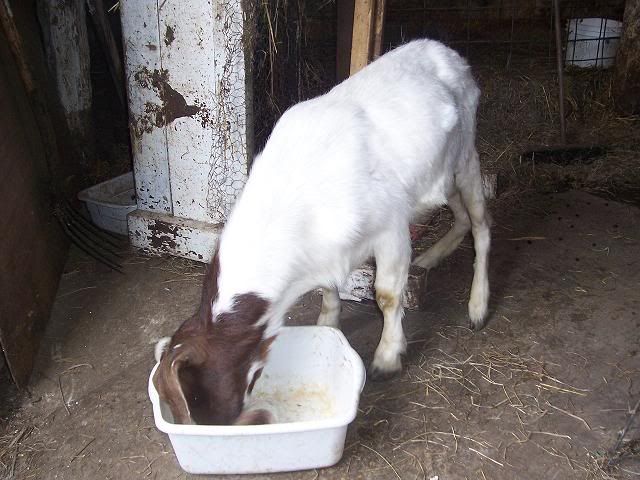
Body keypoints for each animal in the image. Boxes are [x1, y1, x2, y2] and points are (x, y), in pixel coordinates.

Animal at [153, 39, 491, 425]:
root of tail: (444, 50)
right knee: (460, 216)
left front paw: (387, 357)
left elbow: (387, 295)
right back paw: (432, 257)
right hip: (444, 173)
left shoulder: (391, 227)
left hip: (467, 156)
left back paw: (478, 305)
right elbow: (329, 288)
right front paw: (328, 324)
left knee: (481, 225)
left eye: (192, 396)